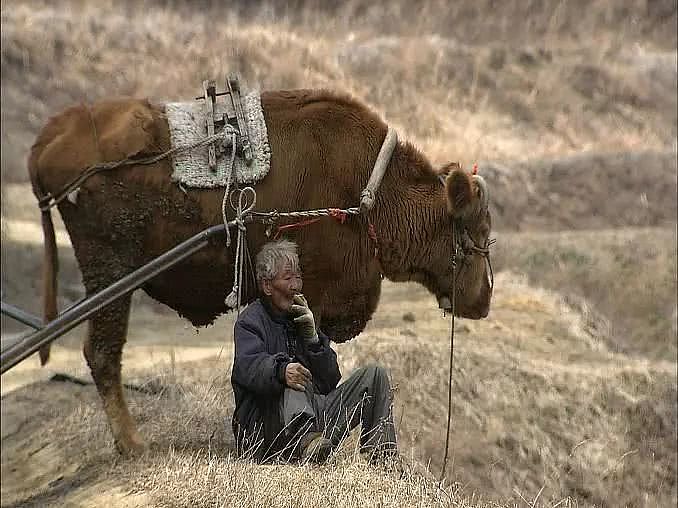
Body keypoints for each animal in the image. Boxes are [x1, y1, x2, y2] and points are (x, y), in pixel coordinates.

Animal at [29, 88, 494, 456]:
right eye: (479, 231)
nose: (484, 299)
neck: (369, 191)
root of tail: (52, 135)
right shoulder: (316, 297)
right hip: (111, 275)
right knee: (102, 352)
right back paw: (133, 444)